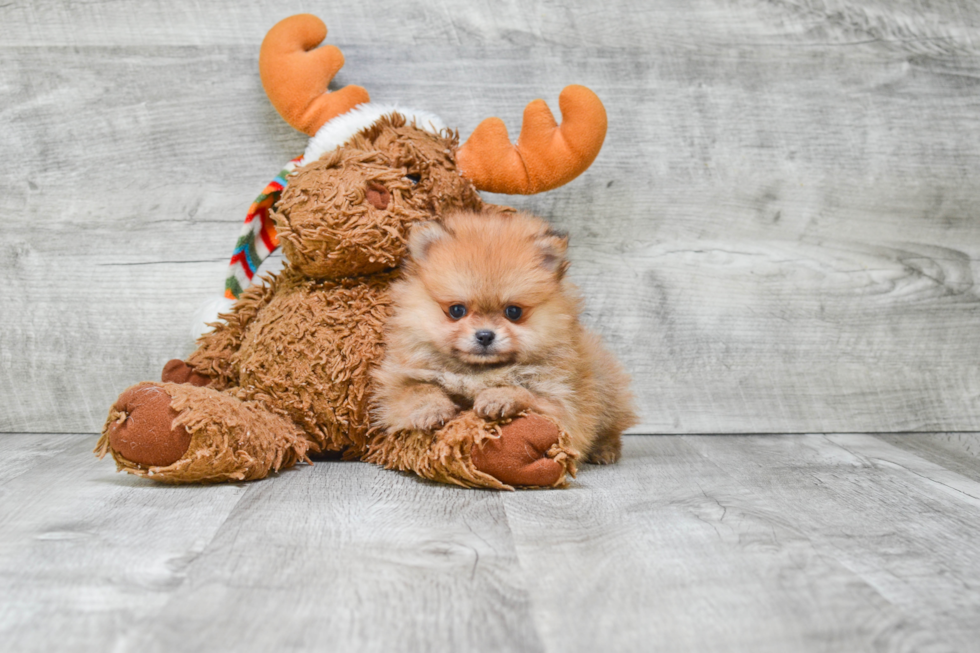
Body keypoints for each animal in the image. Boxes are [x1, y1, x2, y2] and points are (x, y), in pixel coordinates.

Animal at [372, 209, 640, 464]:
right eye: (457, 310)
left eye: (513, 311)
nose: (485, 335)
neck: (478, 372)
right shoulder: (399, 381)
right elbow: (418, 389)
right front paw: (431, 410)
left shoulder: (563, 403)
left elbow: (526, 392)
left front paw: (498, 396)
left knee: (611, 428)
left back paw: (604, 450)